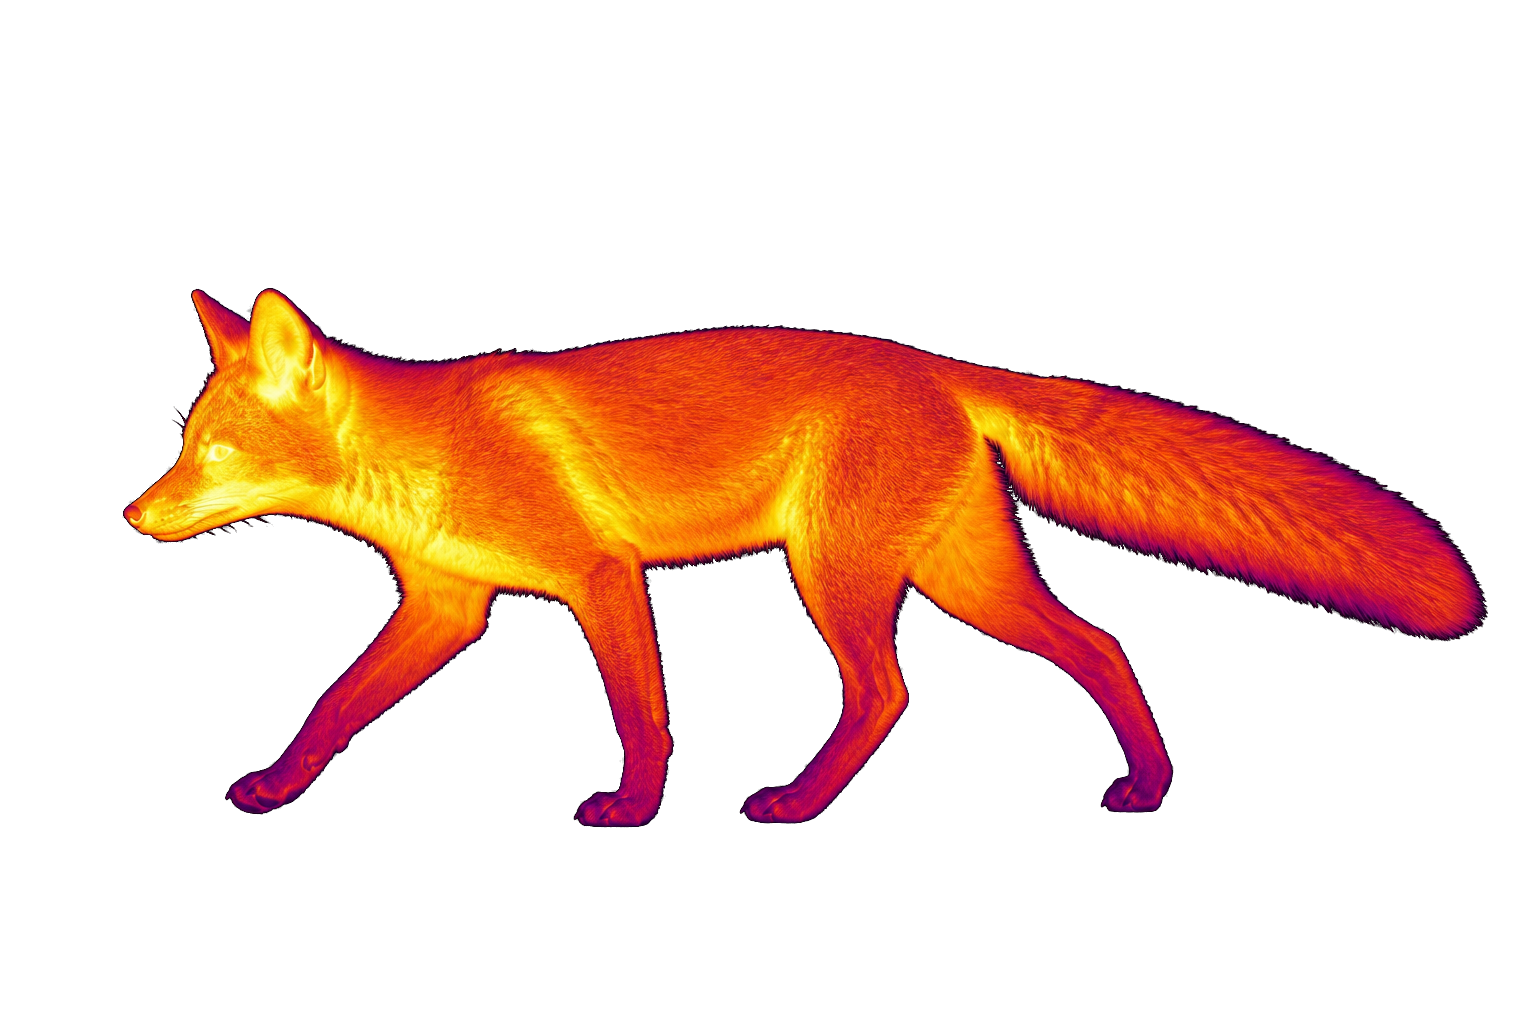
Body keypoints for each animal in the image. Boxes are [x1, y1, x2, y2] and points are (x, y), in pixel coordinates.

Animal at [126, 290, 1483, 824]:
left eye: (212, 450)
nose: (136, 516)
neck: (430, 458)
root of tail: (933, 362)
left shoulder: (597, 573)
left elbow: (641, 711)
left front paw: (634, 806)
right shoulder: (451, 604)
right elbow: (333, 703)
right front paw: (275, 785)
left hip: (839, 576)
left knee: (882, 690)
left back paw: (798, 801)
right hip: (961, 577)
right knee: (1099, 642)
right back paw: (1147, 784)